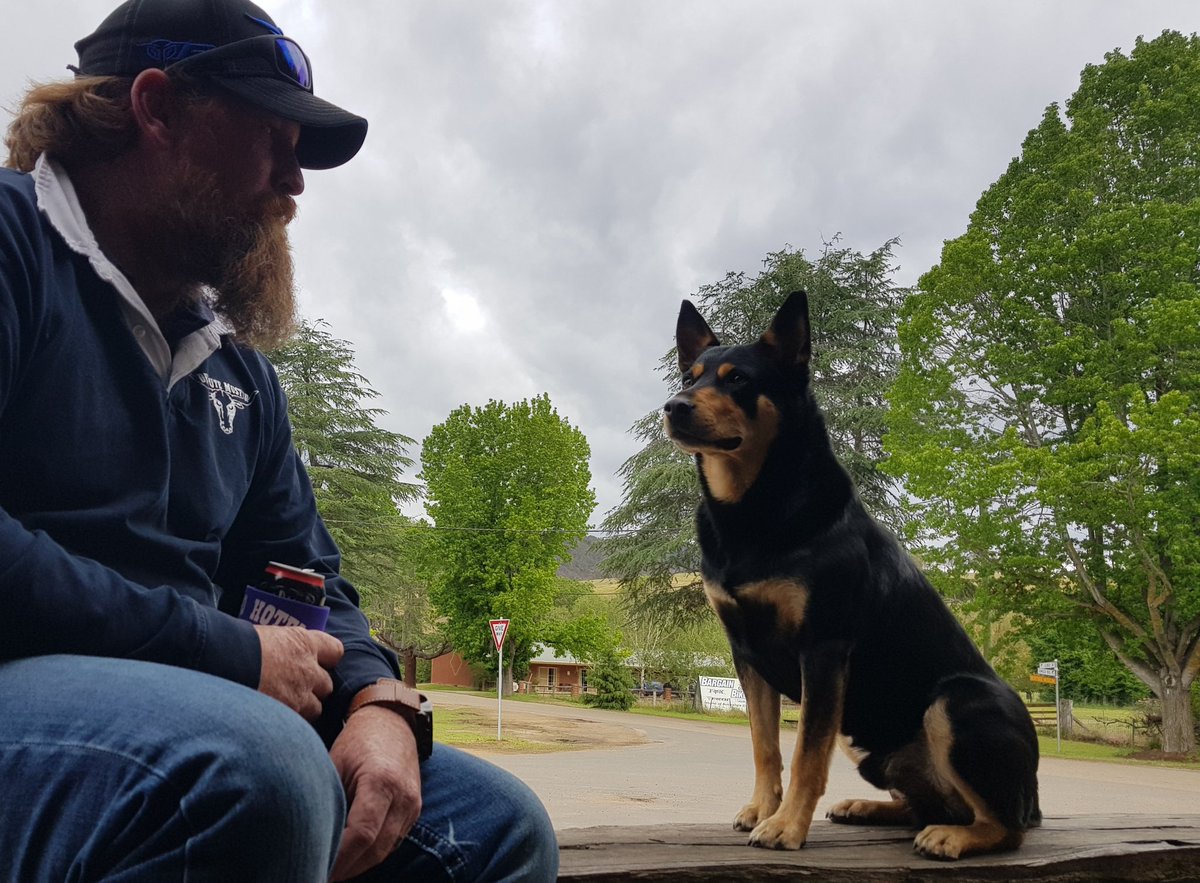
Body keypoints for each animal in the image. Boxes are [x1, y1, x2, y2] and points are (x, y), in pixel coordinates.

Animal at [667, 292, 1041, 859]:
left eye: (739, 380)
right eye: (690, 377)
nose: (674, 406)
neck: (755, 508)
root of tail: (1034, 794)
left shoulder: (823, 649)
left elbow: (806, 752)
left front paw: (784, 827)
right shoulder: (747, 654)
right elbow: (764, 746)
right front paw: (761, 808)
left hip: (954, 704)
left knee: (1003, 825)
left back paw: (953, 836)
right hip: (871, 747)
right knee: (930, 803)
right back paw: (869, 807)